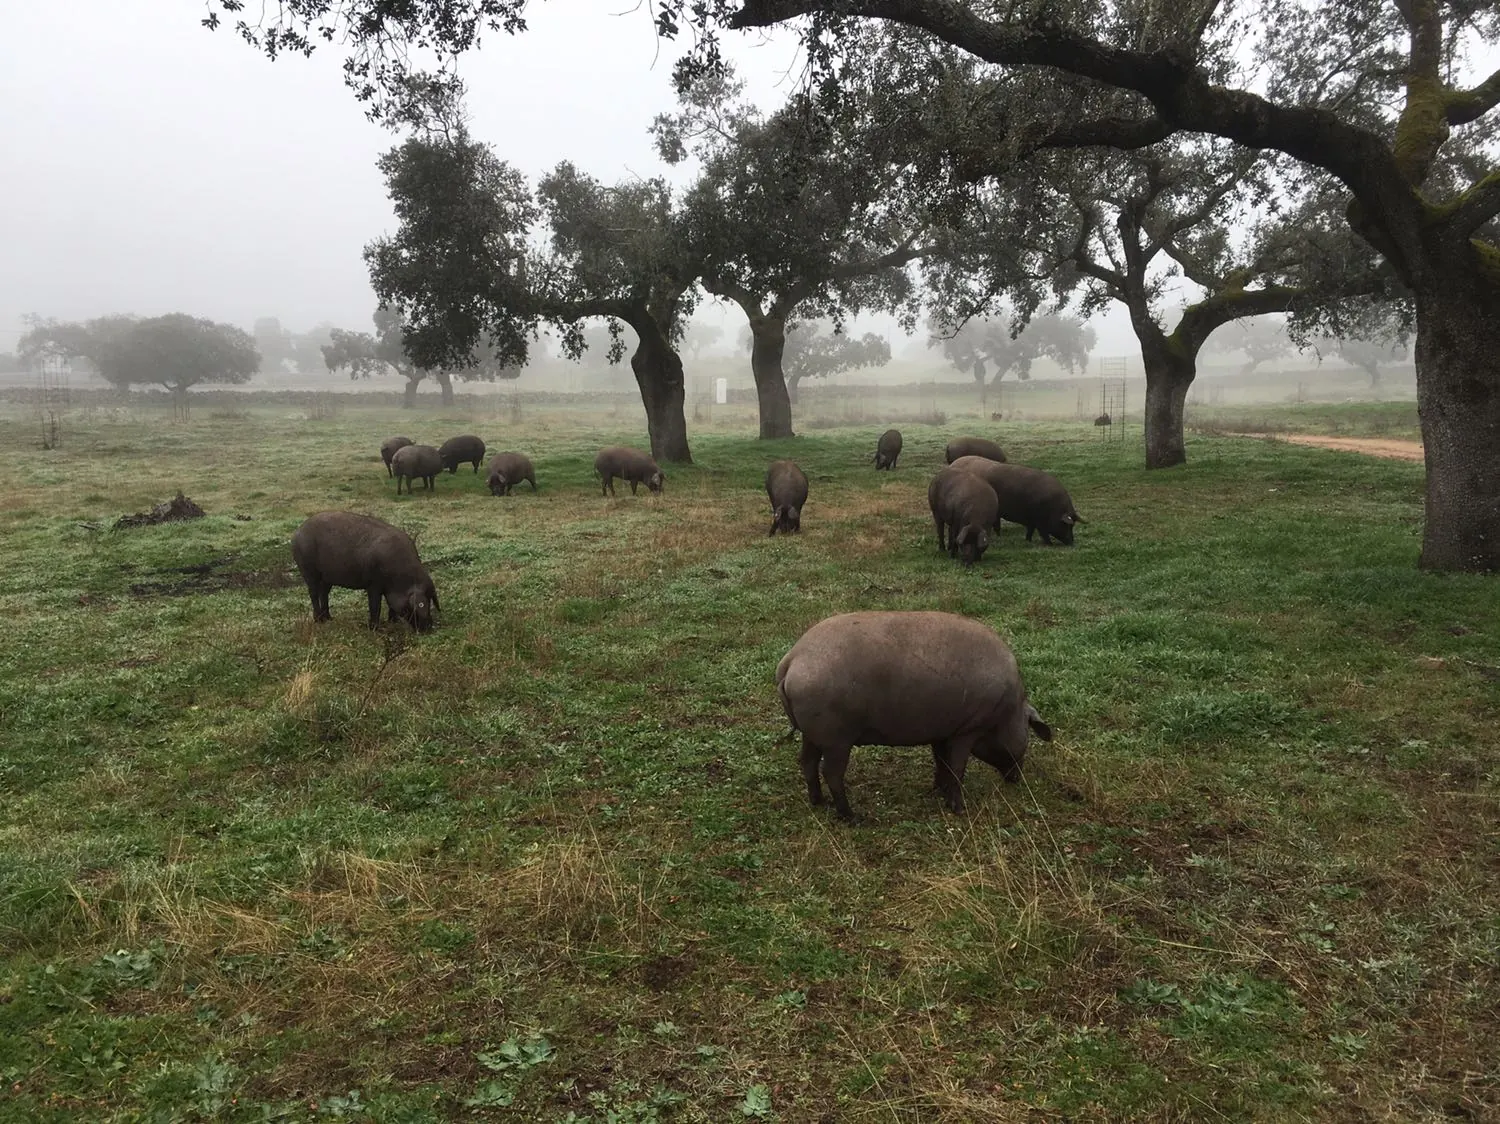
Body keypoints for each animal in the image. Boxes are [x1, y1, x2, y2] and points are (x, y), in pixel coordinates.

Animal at [290, 511, 440, 631]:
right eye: (420, 605)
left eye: (430, 600)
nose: (428, 628)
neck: (400, 576)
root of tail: (297, 532)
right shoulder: (373, 584)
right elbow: (375, 606)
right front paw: (375, 629)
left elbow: (391, 605)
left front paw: (393, 622)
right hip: (308, 569)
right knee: (313, 593)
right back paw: (319, 621)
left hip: (327, 577)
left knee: (324, 593)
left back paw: (329, 618)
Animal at [776, 610, 1052, 819]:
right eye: (1028, 732)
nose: (1017, 779)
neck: (1008, 709)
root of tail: (792, 660)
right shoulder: (968, 729)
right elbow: (957, 767)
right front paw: (960, 811)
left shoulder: (943, 731)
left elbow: (941, 761)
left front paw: (937, 792)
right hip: (836, 737)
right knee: (831, 772)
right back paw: (854, 817)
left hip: (812, 733)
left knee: (807, 761)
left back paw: (818, 802)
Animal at [956, 461, 1085, 546]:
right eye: (1067, 525)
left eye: (1073, 525)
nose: (1072, 542)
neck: (1055, 508)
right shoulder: (1040, 521)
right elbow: (1043, 534)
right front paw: (1050, 544)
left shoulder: (1032, 520)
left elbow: (1030, 530)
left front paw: (1028, 541)